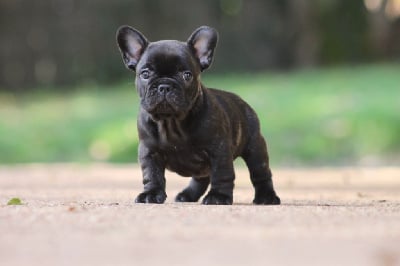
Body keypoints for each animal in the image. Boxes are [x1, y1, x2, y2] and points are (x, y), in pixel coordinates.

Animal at [114, 25, 280, 205]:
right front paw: (151, 193)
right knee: (201, 178)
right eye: (145, 74)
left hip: (255, 148)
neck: (172, 121)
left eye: (186, 75)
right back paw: (188, 195)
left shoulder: (219, 151)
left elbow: (222, 174)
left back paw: (266, 196)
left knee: (260, 173)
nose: (164, 86)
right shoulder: (149, 152)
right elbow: (152, 174)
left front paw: (218, 196)